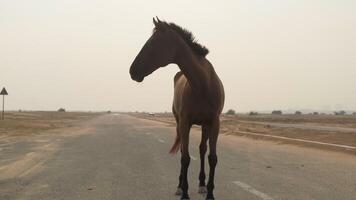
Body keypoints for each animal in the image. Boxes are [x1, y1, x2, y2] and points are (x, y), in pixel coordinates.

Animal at [130, 17, 225, 200]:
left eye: (152, 43)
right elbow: (185, 158)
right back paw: (180, 186)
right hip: (180, 123)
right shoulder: (185, 122)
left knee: (202, 150)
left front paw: (210, 193)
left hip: (205, 125)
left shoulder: (214, 122)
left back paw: (202, 184)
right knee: (183, 151)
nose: (132, 71)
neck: (202, 85)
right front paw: (184, 192)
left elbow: (212, 158)